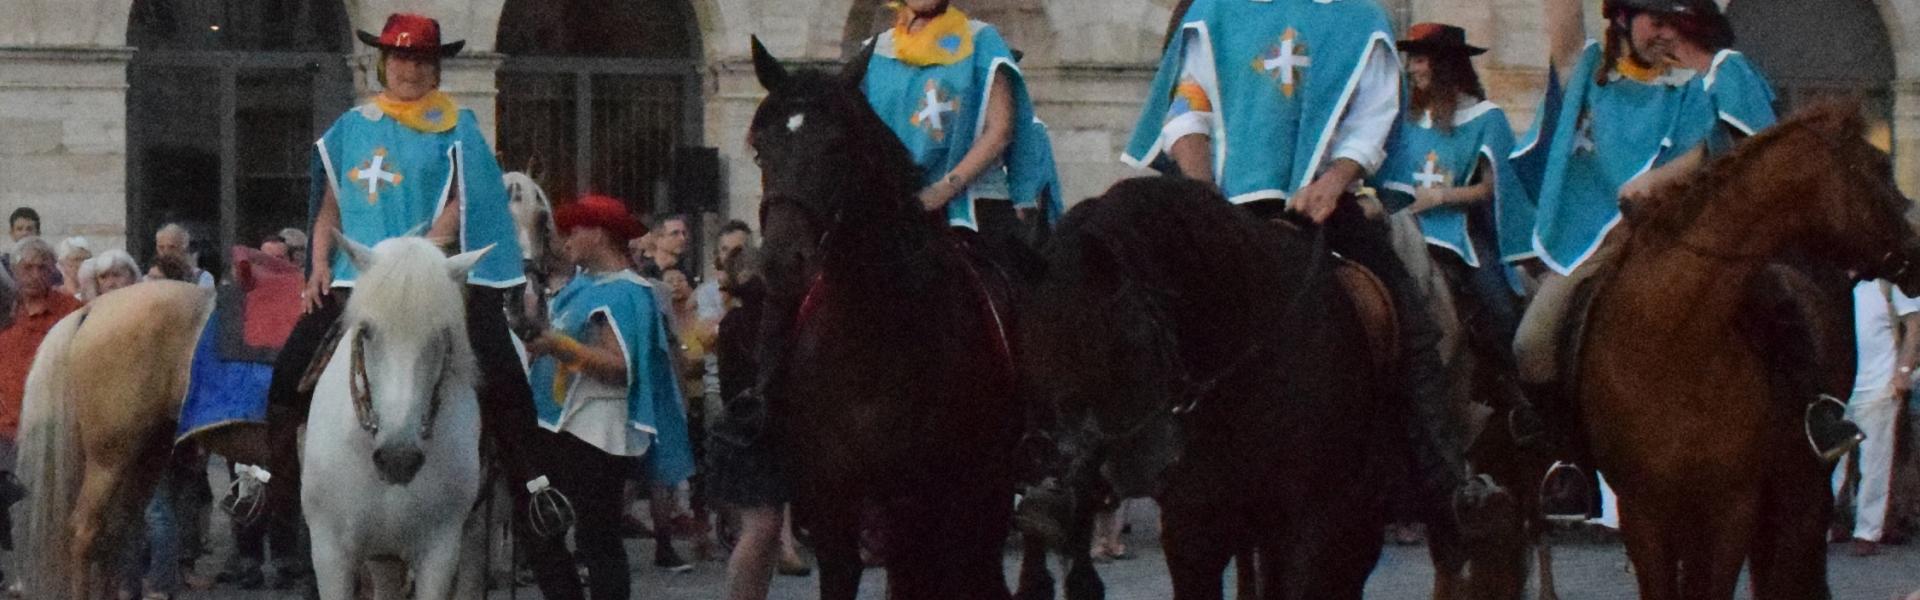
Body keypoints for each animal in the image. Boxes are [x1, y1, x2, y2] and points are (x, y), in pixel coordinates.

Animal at [744, 39, 1029, 596]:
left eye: (837, 146)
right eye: (760, 150)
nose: (782, 262)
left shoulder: (913, 497)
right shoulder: (829, 501)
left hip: (985, 488)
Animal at [1574, 102, 1920, 600]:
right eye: (1879, 167)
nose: (1917, 253)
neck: (1672, 341)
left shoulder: (1732, 506)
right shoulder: (1645, 510)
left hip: (1799, 486)